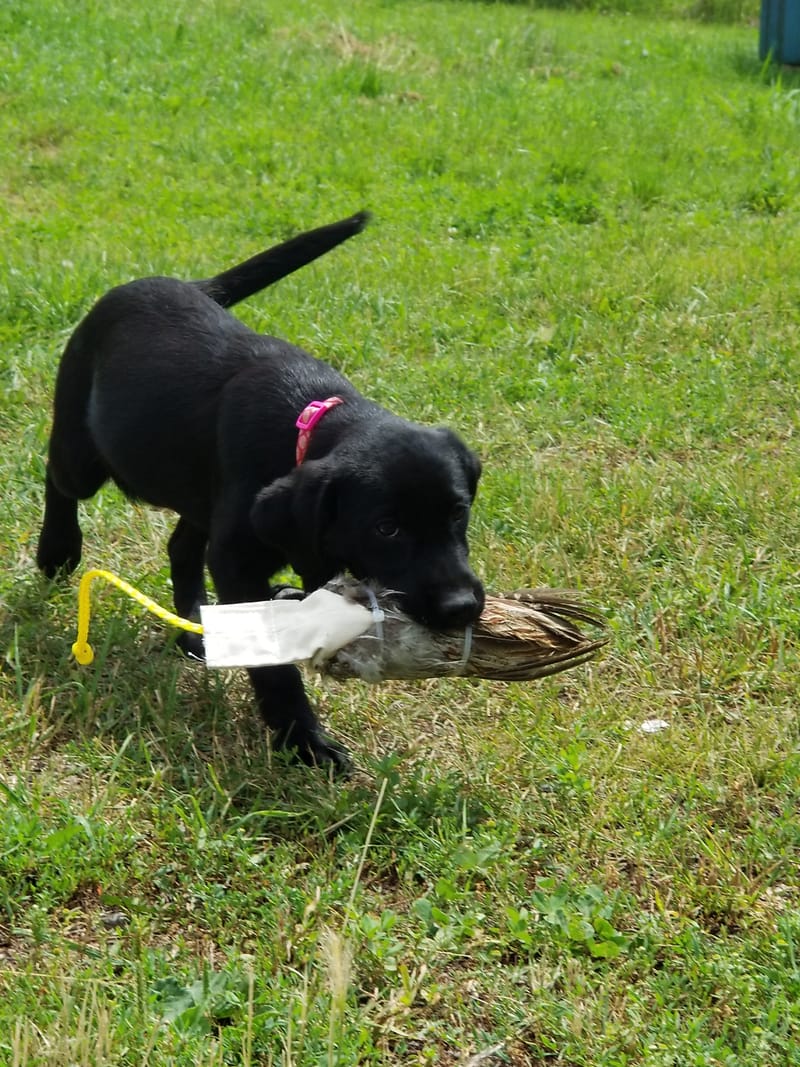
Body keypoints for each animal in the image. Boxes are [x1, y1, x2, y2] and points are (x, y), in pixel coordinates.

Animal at [37, 212, 486, 772]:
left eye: (457, 514)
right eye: (387, 528)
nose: (462, 607)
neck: (309, 423)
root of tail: (181, 283)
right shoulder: (238, 561)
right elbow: (274, 664)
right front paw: (304, 740)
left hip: (201, 494)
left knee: (181, 547)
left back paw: (195, 629)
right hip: (86, 450)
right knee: (59, 476)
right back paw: (56, 551)